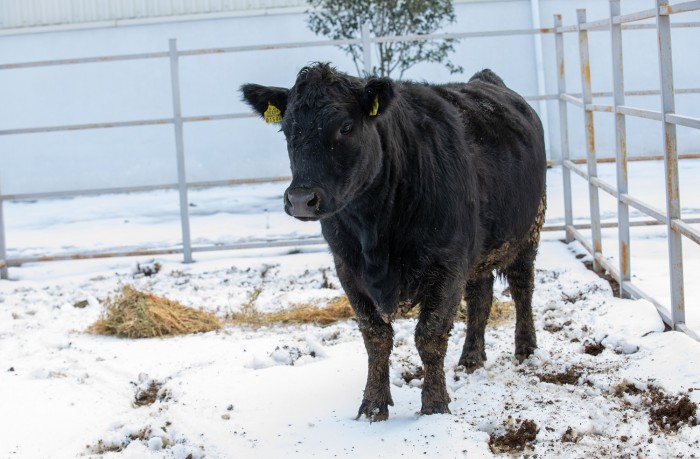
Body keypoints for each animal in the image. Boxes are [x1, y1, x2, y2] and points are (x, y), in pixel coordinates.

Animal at [241, 63, 548, 422]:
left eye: (346, 126)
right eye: (288, 130)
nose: (301, 199)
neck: (375, 231)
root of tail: (485, 80)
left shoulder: (448, 263)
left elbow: (429, 335)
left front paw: (434, 406)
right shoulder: (348, 269)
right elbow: (376, 338)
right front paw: (372, 406)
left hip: (529, 228)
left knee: (522, 287)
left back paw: (525, 349)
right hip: (480, 251)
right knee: (480, 296)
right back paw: (471, 358)